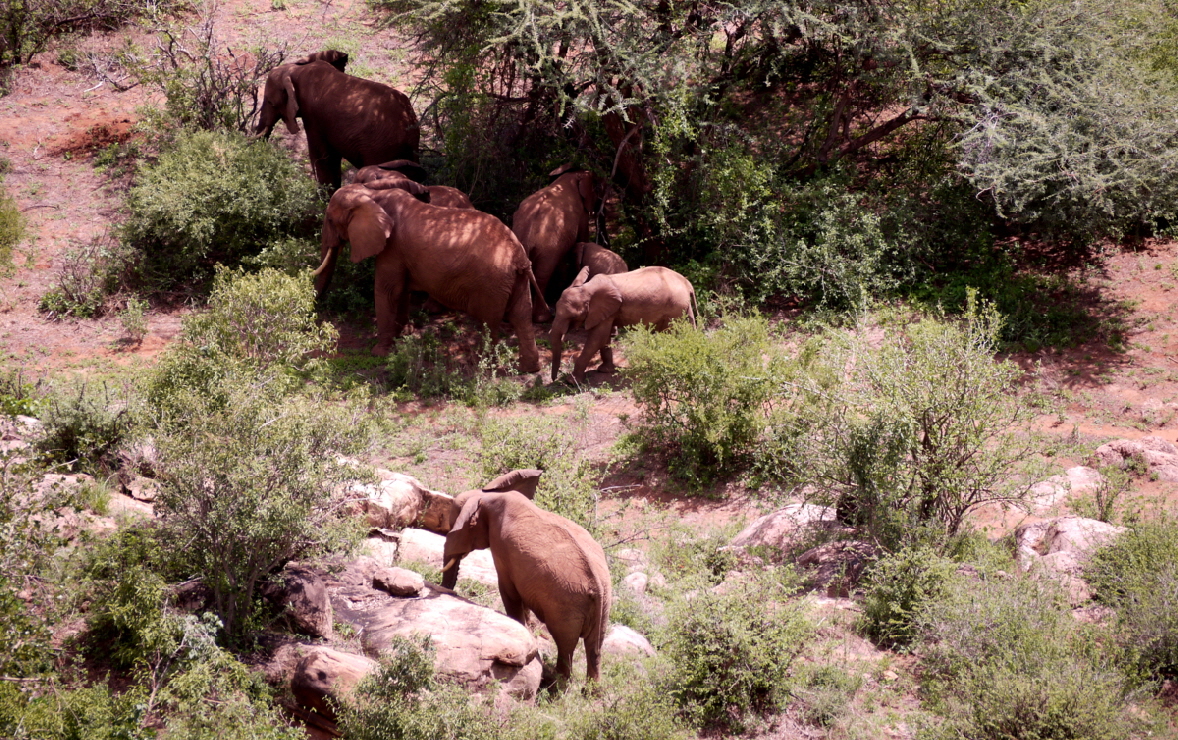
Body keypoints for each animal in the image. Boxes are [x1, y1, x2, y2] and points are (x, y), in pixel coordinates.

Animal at [315, 182, 548, 372]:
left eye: (330, 219)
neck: (372, 195)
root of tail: (518, 255)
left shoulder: (392, 248)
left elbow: (388, 291)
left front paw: (379, 353)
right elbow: (401, 291)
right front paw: (403, 336)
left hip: (491, 282)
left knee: (489, 322)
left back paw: (481, 366)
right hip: (514, 279)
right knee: (521, 316)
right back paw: (529, 369)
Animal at [440, 480, 612, 683]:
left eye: (454, 526)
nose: (450, 593)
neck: (490, 496)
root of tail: (598, 586)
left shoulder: (501, 547)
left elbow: (508, 591)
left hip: (566, 606)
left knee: (565, 646)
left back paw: (554, 685)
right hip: (604, 605)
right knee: (595, 648)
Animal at [508, 163, 598, 320]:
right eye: (594, 189)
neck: (571, 175)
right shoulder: (582, 214)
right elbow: (582, 238)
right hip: (549, 244)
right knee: (543, 272)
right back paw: (544, 317)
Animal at [551, 263, 697, 381]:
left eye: (572, 316)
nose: (554, 379)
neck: (587, 288)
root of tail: (687, 284)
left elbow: (597, 338)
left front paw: (571, 381)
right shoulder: (608, 312)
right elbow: (604, 337)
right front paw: (605, 370)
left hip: (675, 307)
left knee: (671, 333)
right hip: (682, 306)